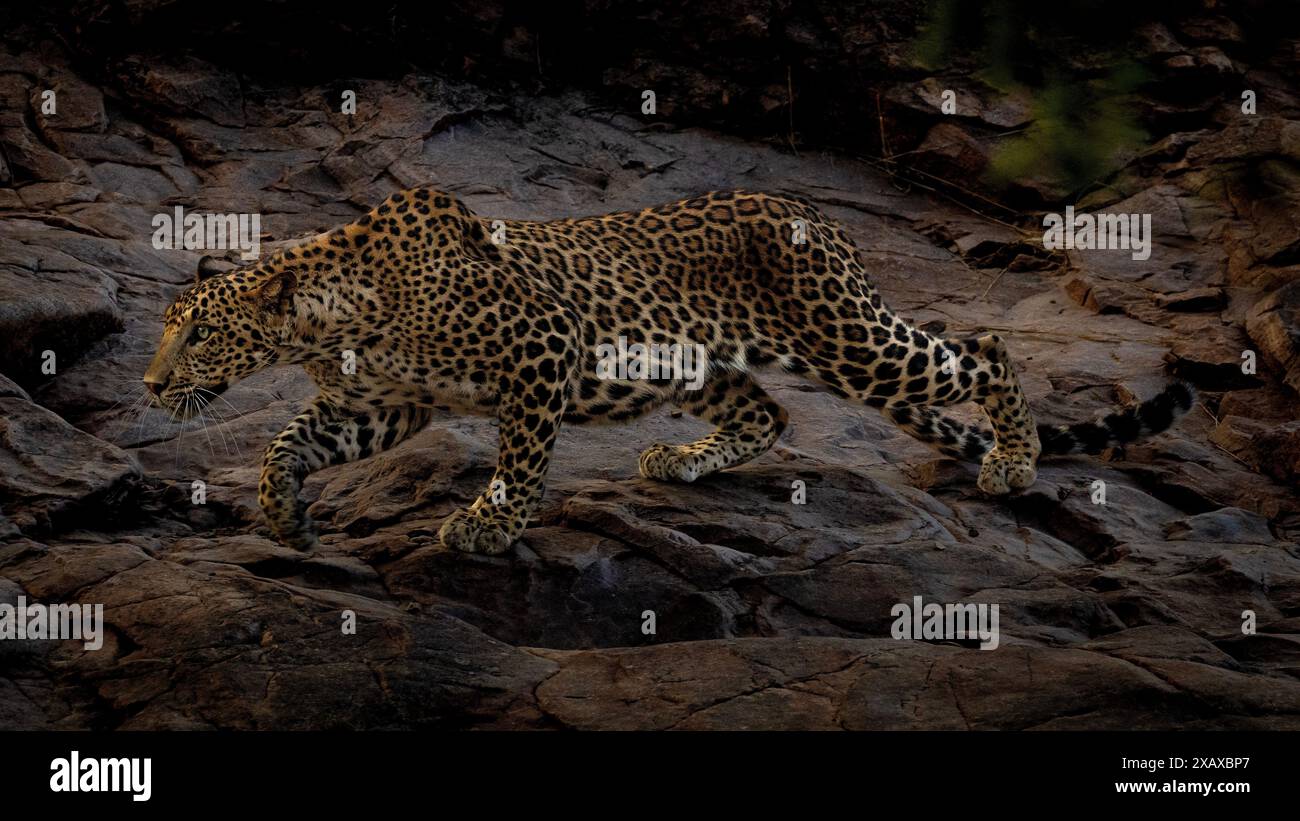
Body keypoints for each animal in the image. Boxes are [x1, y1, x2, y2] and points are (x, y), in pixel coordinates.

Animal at [144, 189, 1196, 555]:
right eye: (168, 334)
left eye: (199, 336)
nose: (150, 386)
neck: (333, 317)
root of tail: (817, 215)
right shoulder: (381, 405)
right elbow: (285, 443)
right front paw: (284, 515)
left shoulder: (544, 349)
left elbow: (520, 461)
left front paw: (487, 526)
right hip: (704, 357)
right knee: (767, 413)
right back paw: (681, 460)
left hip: (855, 342)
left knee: (981, 350)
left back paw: (1014, 460)